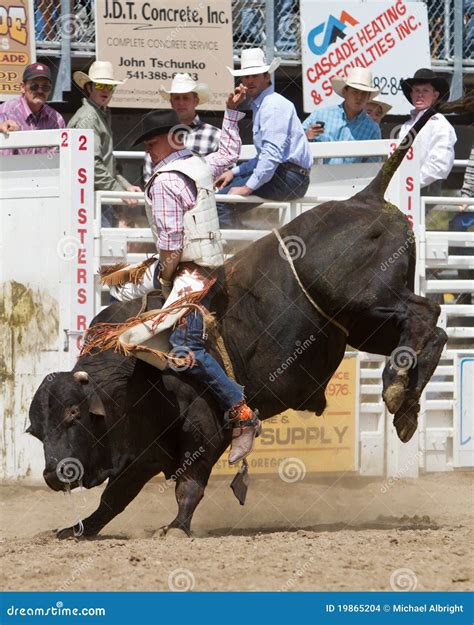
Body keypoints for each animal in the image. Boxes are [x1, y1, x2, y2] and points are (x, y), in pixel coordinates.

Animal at [27, 107, 446, 536]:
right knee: (433, 332)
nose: (54, 475)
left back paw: (396, 386)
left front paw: (176, 526)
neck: (134, 377)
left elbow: (190, 482)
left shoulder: (203, 427)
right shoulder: (144, 451)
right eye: (36, 430)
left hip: (365, 300)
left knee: (425, 314)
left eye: (73, 415)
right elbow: (115, 498)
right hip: (360, 325)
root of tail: (366, 197)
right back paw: (405, 403)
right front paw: (78, 529)